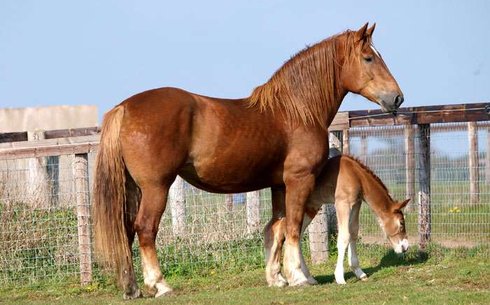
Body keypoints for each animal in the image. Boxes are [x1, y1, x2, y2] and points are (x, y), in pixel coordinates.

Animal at [264, 154, 410, 284]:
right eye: (401, 223)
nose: (405, 247)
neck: (355, 175)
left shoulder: (356, 204)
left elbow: (353, 233)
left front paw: (359, 272)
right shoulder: (342, 203)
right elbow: (344, 237)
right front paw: (340, 277)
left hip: (310, 209)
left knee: (296, 236)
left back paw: (309, 278)